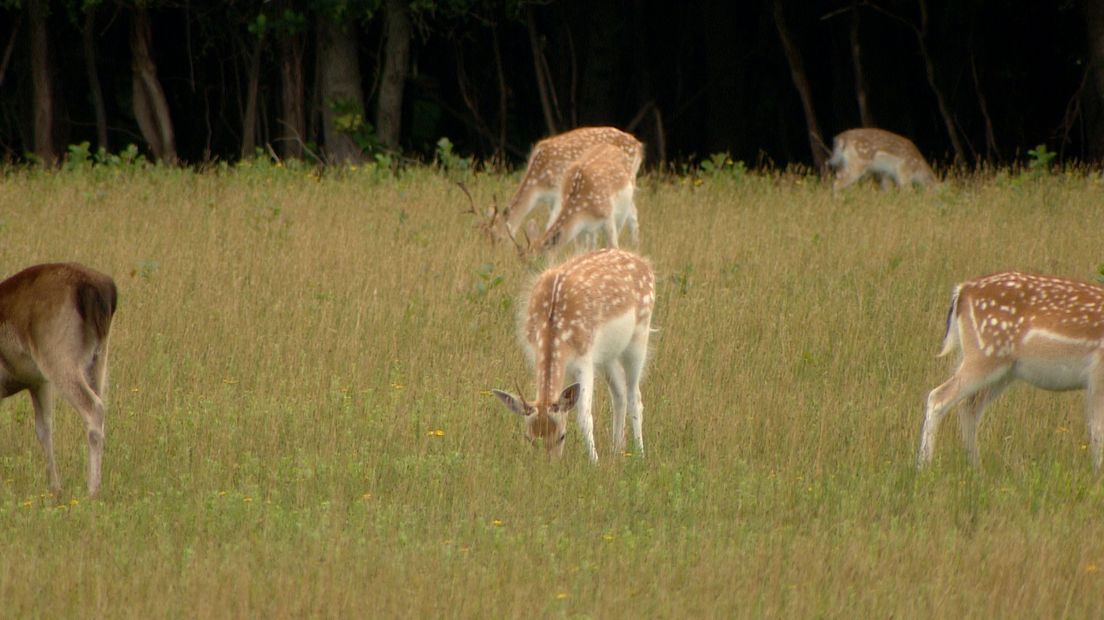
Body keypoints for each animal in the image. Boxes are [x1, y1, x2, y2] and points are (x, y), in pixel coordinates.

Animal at [1, 262, 117, 494]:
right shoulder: (38, 381)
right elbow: (44, 427)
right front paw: (55, 488)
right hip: (98, 361)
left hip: (59, 358)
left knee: (93, 408)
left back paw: (92, 490)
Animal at [487, 247, 649, 458]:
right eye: (529, 438)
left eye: (562, 435)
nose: (547, 463)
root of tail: (643, 261)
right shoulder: (534, 353)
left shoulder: (584, 359)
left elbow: (584, 417)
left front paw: (594, 461)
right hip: (608, 355)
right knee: (619, 392)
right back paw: (617, 451)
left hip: (640, 336)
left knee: (634, 395)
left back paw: (640, 454)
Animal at [505, 124, 644, 236]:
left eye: (499, 237)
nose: (502, 249)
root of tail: (639, 146)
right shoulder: (551, 200)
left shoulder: (558, 192)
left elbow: (551, 223)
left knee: (632, 215)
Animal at [918, 269, 1104, 467]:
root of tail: (961, 291)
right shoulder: (1098, 373)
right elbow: (1098, 431)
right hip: (984, 355)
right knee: (938, 397)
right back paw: (924, 466)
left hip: (1002, 370)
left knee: (969, 407)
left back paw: (976, 467)